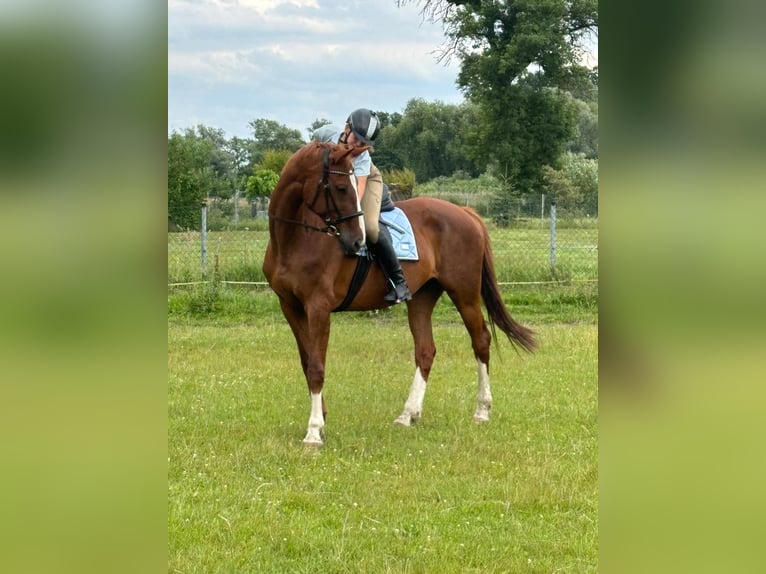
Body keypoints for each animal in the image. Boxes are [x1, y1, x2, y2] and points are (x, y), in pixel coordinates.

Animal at [264, 142, 540, 448]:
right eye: (340, 187)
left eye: (348, 186)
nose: (357, 242)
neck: (295, 239)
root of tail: (465, 212)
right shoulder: (290, 307)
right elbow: (307, 362)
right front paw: (321, 420)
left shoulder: (318, 308)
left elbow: (316, 366)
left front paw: (313, 432)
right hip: (422, 298)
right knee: (425, 350)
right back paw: (408, 414)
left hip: (464, 293)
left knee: (480, 340)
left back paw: (481, 410)